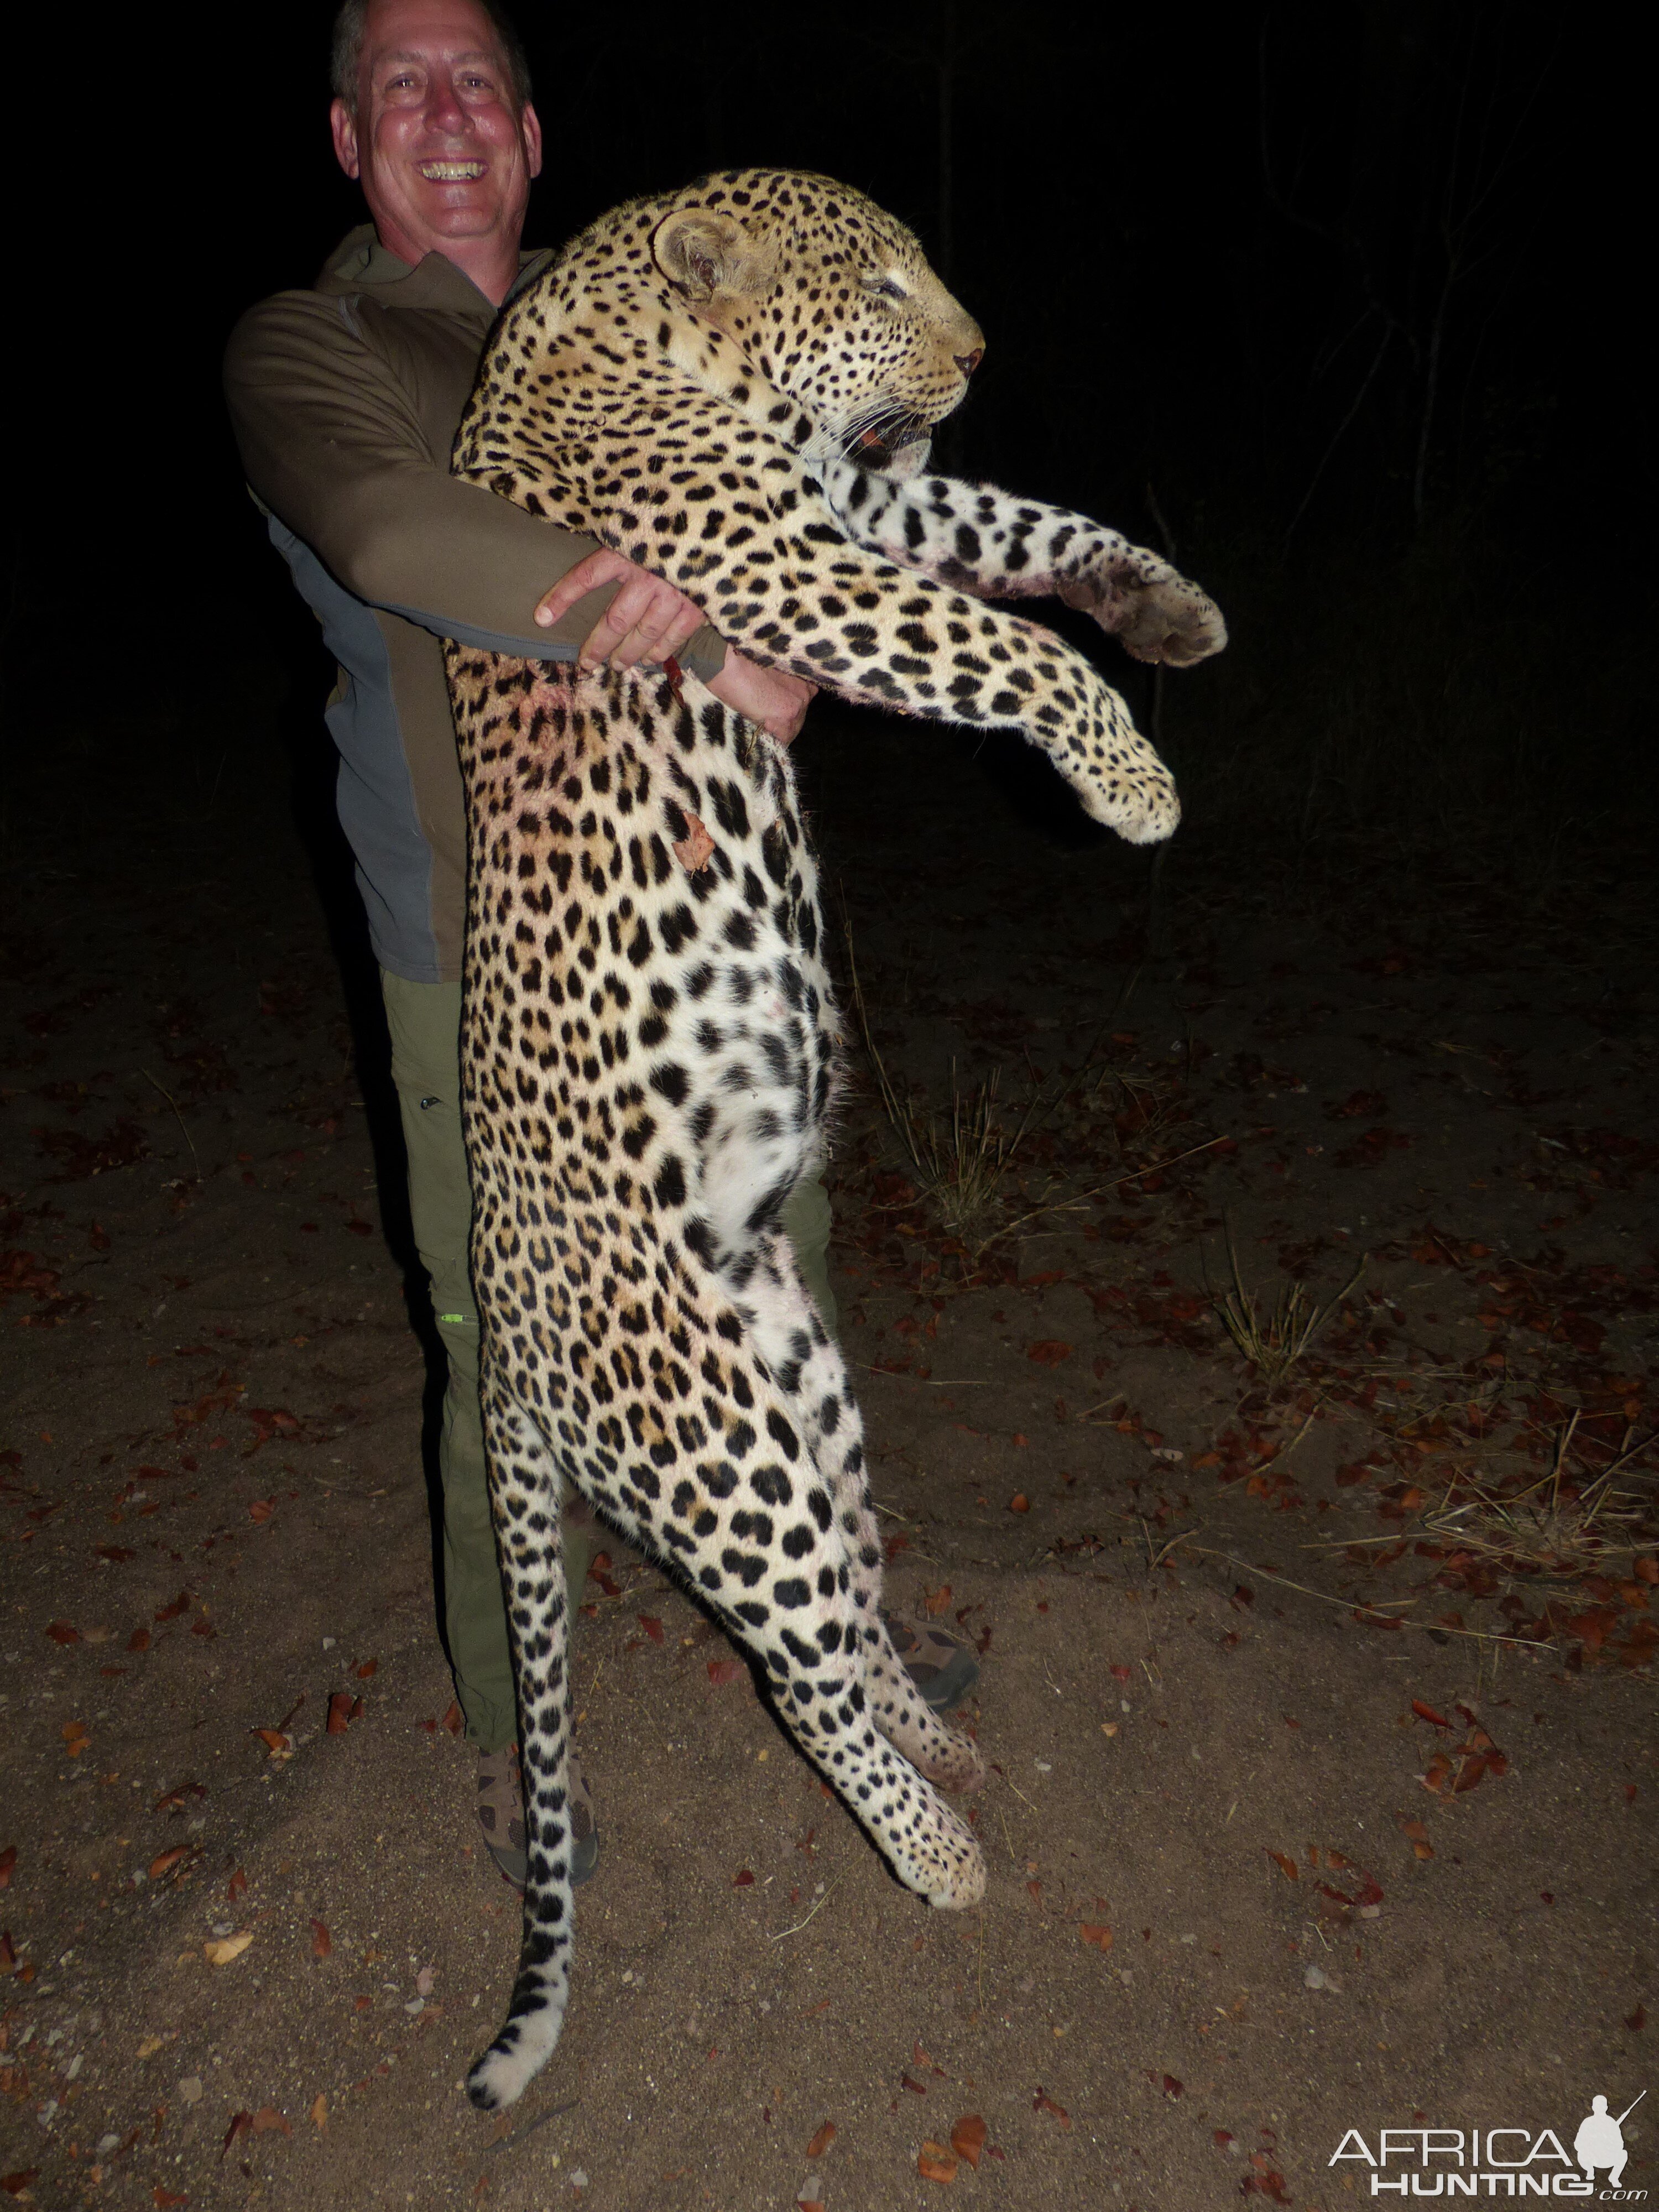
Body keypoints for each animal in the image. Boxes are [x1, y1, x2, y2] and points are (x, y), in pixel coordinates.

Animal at [449, 160, 1230, 2106]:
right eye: (878, 282)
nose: (979, 348)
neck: (624, 319)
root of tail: (504, 1347)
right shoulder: (775, 557)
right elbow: (999, 637)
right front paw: (1131, 780)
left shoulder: (859, 502)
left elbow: (1011, 518)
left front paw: (1167, 609)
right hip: (717, 1442)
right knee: (793, 1667)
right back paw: (940, 1858)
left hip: (802, 1381)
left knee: (847, 1609)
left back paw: (943, 1752)